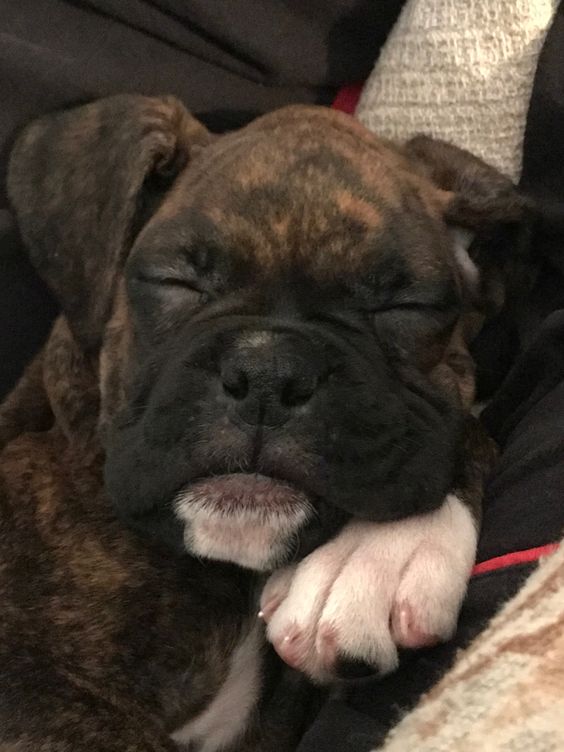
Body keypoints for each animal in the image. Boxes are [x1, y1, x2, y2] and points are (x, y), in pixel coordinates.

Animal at [0, 97, 528, 748]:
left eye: (404, 307)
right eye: (174, 281)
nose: (269, 374)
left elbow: (456, 428)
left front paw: (376, 551)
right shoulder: (38, 693)